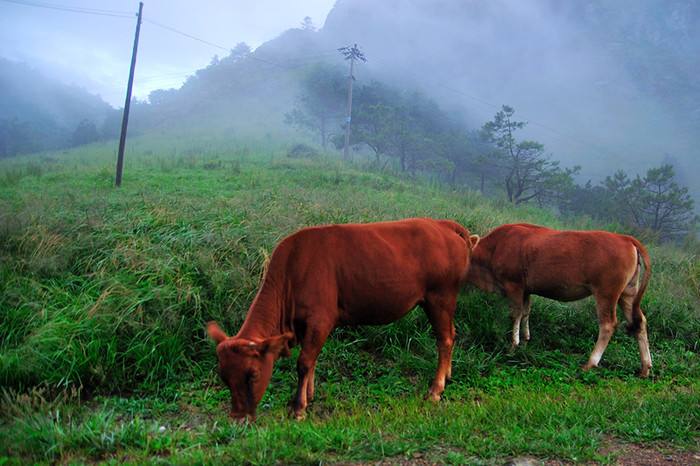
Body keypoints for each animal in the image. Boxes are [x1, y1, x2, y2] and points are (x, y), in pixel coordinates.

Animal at [205, 217, 478, 420]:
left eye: (252, 374)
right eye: (223, 376)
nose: (238, 416)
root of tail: (441, 224)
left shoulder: (320, 319)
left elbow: (304, 362)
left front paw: (298, 408)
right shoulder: (306, 325)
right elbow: (312, 361)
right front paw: (309, 395)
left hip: (440, 297)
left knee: (444, 339)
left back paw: (435, 390)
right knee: (452, 334)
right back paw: (448, 376)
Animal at [468, 223, 652, 378]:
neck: (495, 247)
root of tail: (625, 238)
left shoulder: (514, 286)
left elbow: (516, 315)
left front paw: (513, 346)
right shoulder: (526, 290)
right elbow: (526, 313)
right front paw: (525, 341)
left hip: (606, 293)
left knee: (608, 325)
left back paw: (590, 363)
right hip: (627, 293)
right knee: (639, 322)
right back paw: (645, 367)